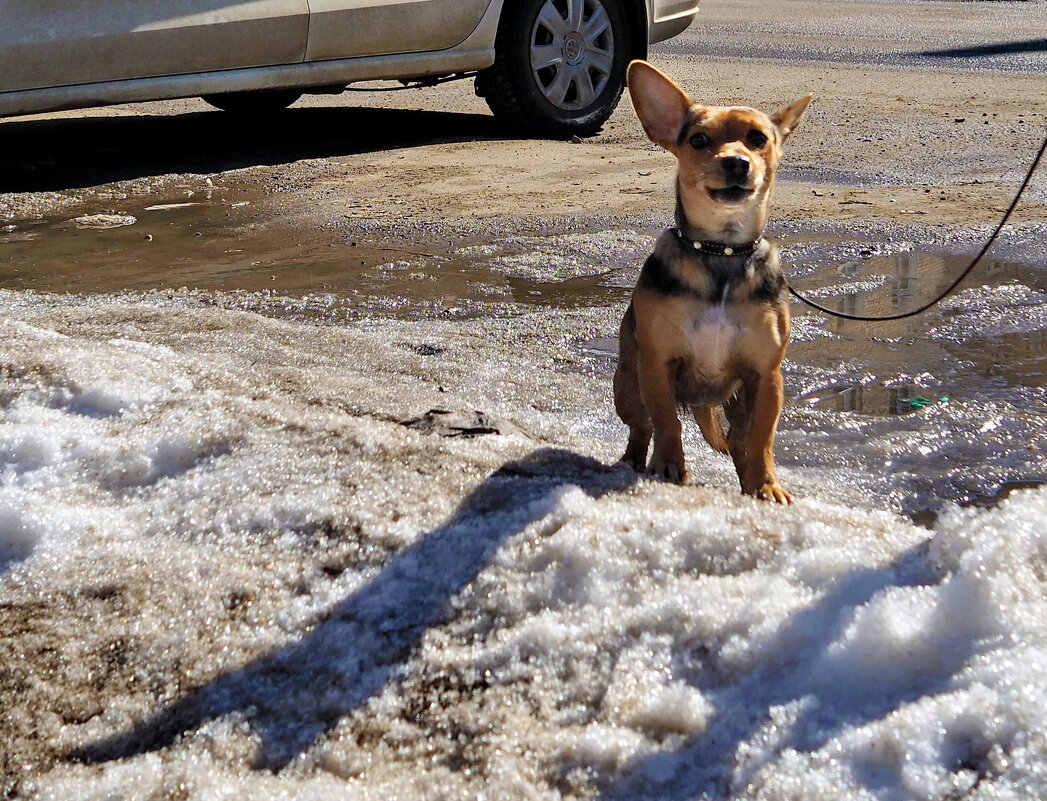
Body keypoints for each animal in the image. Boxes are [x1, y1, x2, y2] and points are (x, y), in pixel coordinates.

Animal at [611, 59, 808, 502]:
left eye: (758, 139)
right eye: (699, 140)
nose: (736, 162)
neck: (721, 252)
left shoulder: (766, 377)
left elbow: (762, 440)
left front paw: (766, 484)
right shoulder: (658, 362)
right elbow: (667, 422)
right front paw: (668, 466)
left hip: (737, 401)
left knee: (739, 441)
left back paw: (749, 480)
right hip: (627, 386)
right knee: (641, 427)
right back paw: (633, 461)